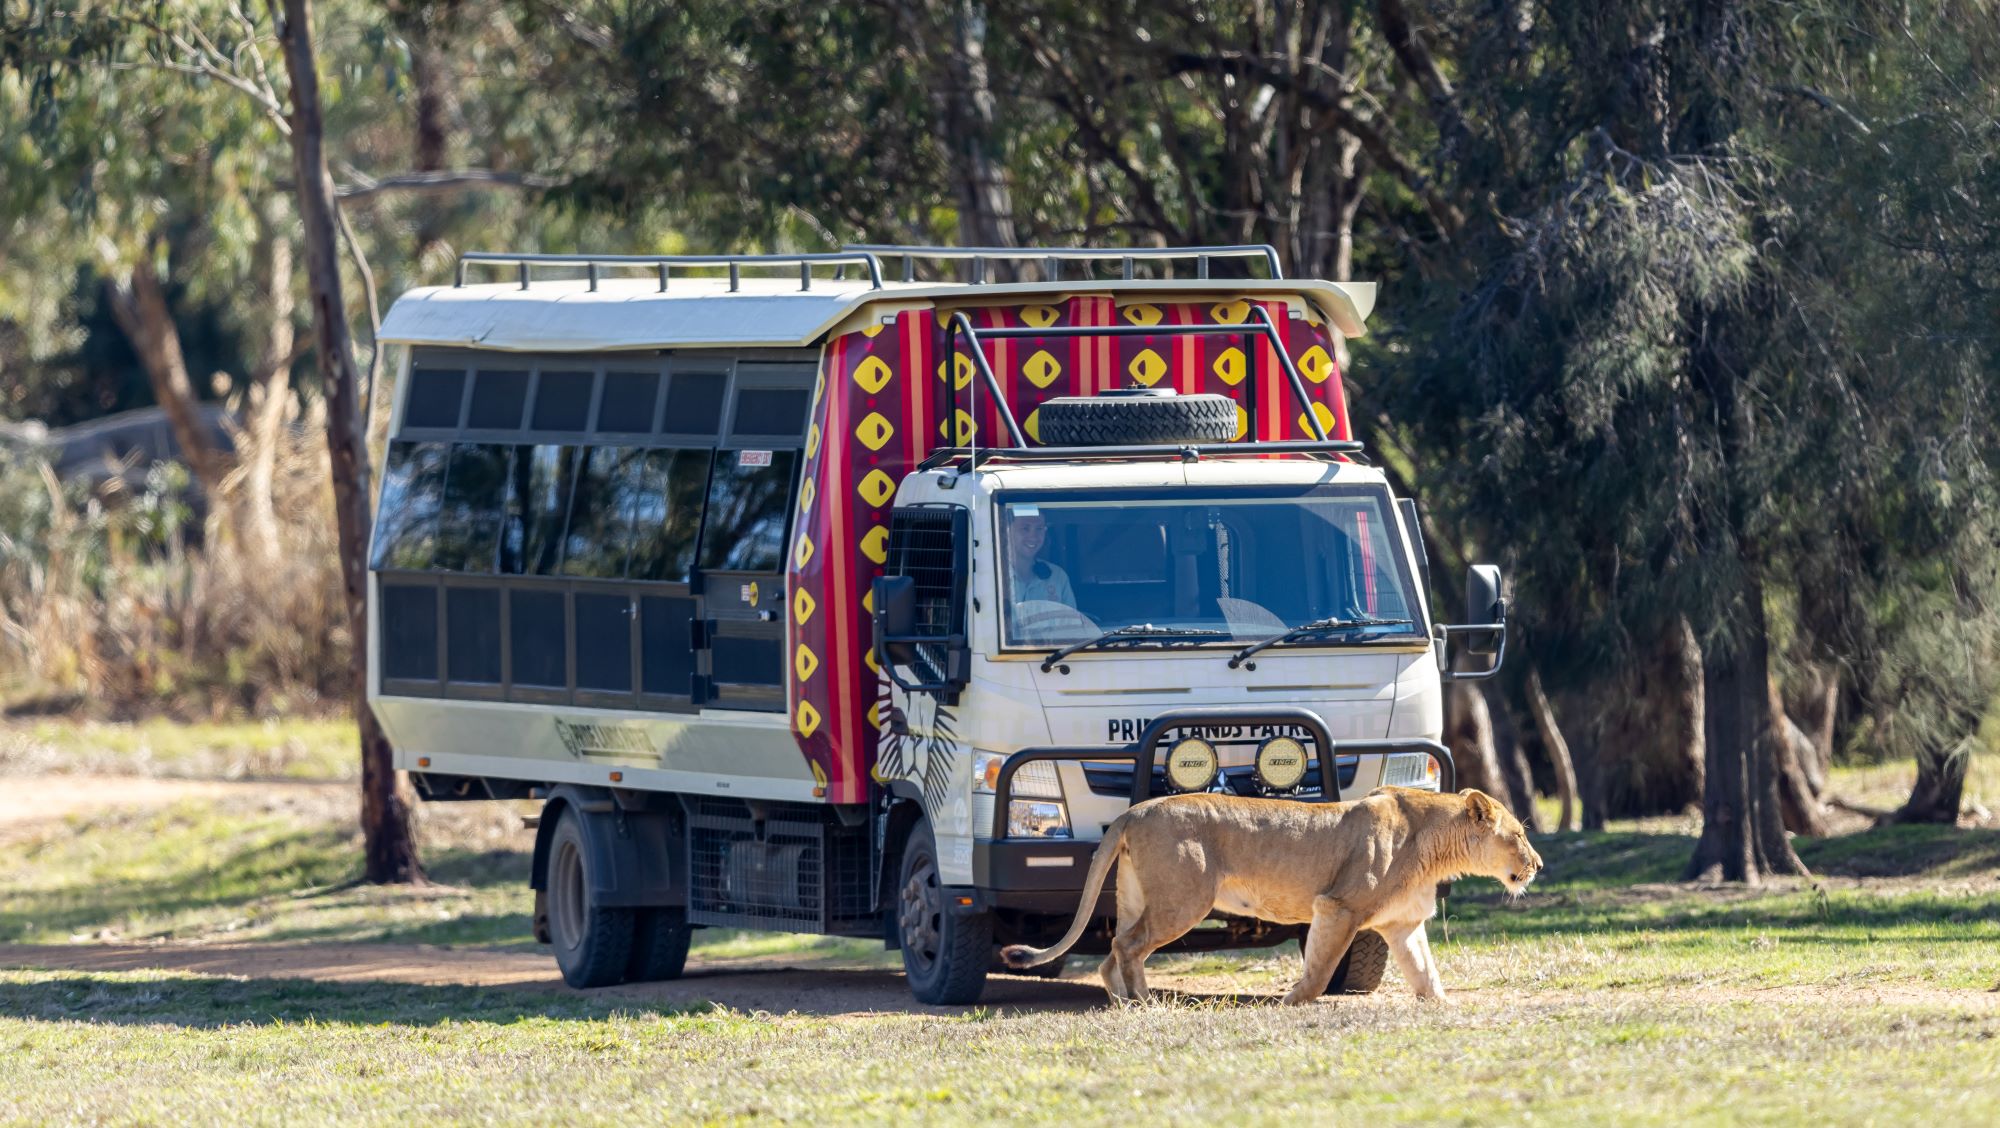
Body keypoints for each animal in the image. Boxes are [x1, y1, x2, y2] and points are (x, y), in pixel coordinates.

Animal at [1000, 787, 1542, 1004]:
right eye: (1518, 834)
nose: (1536, 865)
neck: (1436, 844)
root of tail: (1135, 810)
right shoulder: (1338, 905)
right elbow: (1321, 967)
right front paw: (1293, 999)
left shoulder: (1402, 923)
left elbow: (1426, 972)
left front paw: (1444, 1005)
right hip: (1183, 899)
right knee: (1127, 946)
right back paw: (1145, 1002)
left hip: (1137, 896)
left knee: (1113, 948)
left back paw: (1121, 1002)